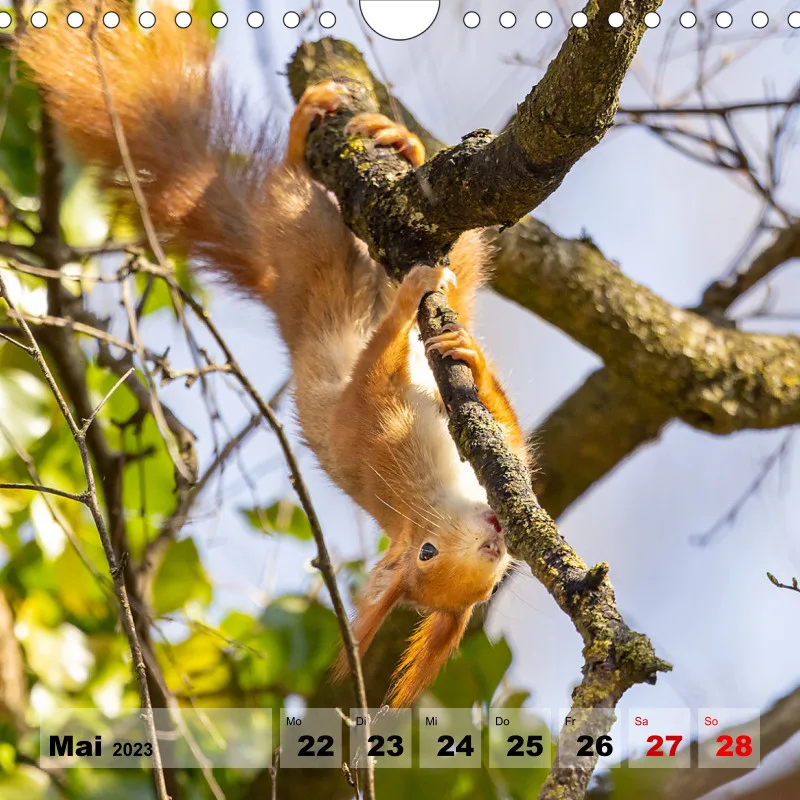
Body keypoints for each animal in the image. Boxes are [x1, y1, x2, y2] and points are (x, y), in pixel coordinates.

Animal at [17, 2, 530, 707]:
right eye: (426, 555)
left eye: (489, 581)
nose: (496, 534)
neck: (426, 488)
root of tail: (278, 286)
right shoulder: (366, 426)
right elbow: (372, 372)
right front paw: (410, 306)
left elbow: (513, 442)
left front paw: (470, 363)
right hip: (309, 246)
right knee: (294, 187)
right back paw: (316, 139)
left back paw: (406, 148)